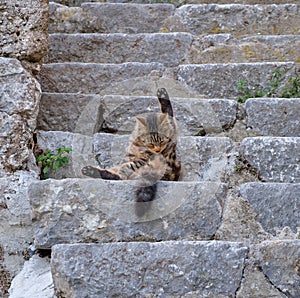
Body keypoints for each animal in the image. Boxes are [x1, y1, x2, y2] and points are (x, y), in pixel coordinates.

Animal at [81, 87, 182, 215]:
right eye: (151, 143)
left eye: (162, 141)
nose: (158, 150)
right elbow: (168, 113)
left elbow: (168, 113)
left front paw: (162, 94)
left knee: (119, 176)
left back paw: (91, 171)